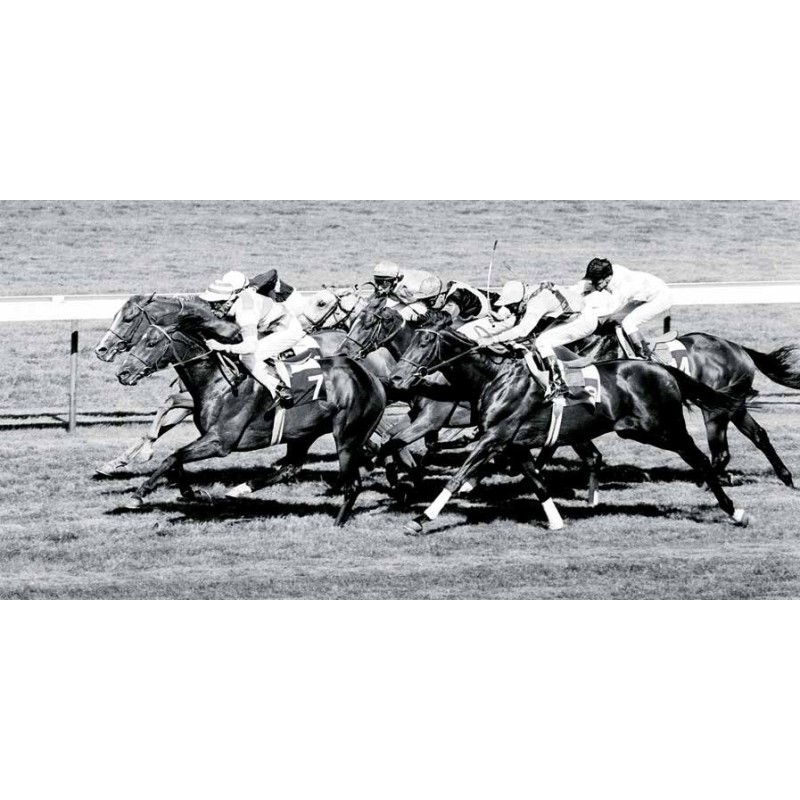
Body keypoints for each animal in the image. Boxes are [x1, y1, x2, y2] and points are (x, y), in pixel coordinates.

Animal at [114, 306, 386, 524]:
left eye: (151, 343)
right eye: (139, 340)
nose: (123, 373)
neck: (218, 382)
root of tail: (372, 379)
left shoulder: (221, 442)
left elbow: (172, 457)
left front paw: (139, 495)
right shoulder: (210, 438)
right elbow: (176, 458)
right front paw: (191, 492)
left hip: (347, 437)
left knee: (352, 484)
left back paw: (337, 524)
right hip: (304, 434)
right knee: (290, 467)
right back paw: (240, 489)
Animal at [388, 324, 752, 536]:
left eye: (425, 342)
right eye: (411, 341)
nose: (396, 379)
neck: (496, 376)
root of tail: (661, 368)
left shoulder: (494, 437)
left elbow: (457, 476)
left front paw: (421, 519)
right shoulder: (514, 443)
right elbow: (536, 481)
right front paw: (556, 520)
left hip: (662, 429)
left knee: (702, 459)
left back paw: (735, 511)